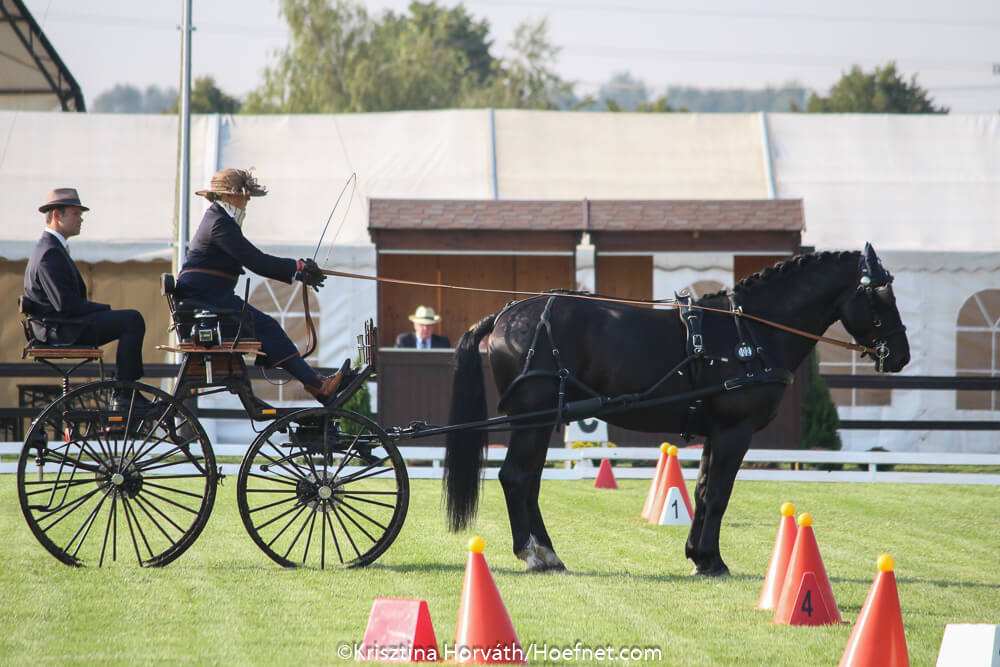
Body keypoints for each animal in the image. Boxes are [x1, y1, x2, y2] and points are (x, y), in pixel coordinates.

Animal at [442, 243, 912, 576]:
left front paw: (698, 555)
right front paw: (713, 560)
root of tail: (506, 315)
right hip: (535, 419)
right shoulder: (735, 429)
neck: (750, 332)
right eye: (881, 296)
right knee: (516, 478)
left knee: (528, 481)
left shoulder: (716, 431)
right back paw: (536, 554)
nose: (901, 355)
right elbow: (718, 494)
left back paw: (546, 552)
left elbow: (703, 491)